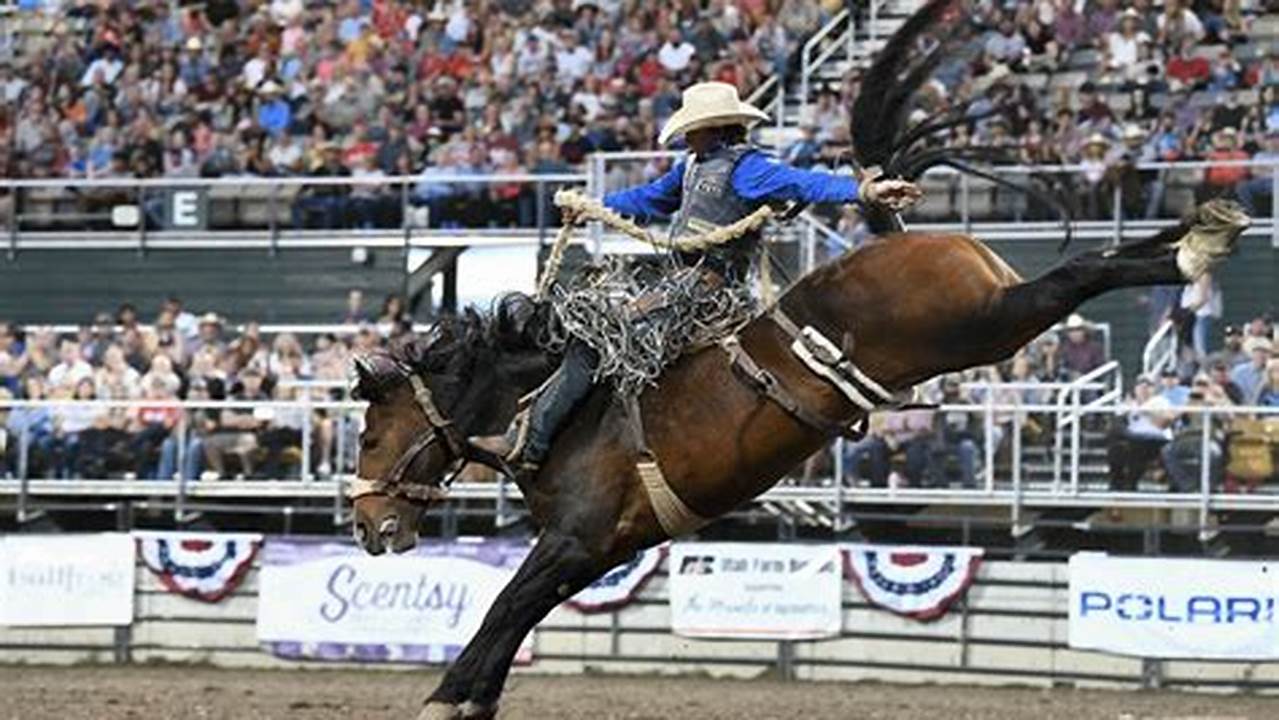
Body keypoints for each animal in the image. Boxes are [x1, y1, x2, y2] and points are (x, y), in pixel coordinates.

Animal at [342, 2, 1248, 716]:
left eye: (371, 435)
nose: (364, 525)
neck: (557, 412)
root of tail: (900, 239)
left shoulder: (573, 539)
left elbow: (501, 608)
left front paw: (444, 698)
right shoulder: (596, 549)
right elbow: (517, 617)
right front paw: (469, 698)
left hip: (988, 322)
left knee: (1078, 274)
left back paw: (1192, 252)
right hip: (992, 316)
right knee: (1089, 265)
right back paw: (1197, 232)